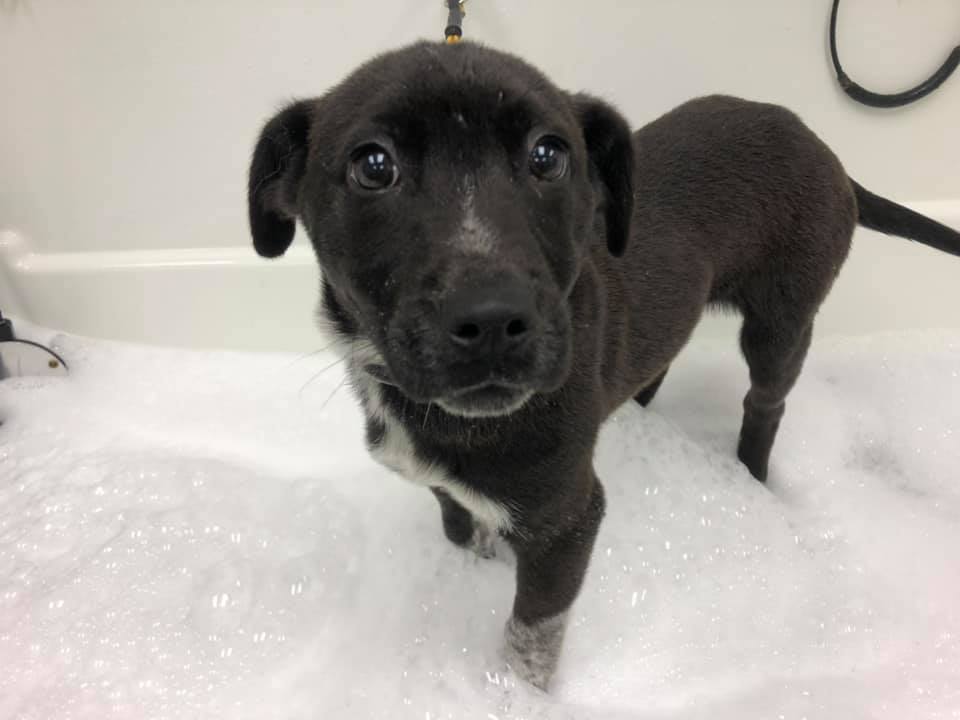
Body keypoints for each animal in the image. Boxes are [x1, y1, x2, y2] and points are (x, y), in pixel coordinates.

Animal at [247, 41, 960, 689]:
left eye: (548, 156)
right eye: (373, 166)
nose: (494, 321)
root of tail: (826, 151)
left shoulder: (569, 521)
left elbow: (531, 637)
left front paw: (517, 692)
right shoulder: (450, 488)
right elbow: (460, 523)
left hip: (781, 323)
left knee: (767, 403)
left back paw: (752, 476)